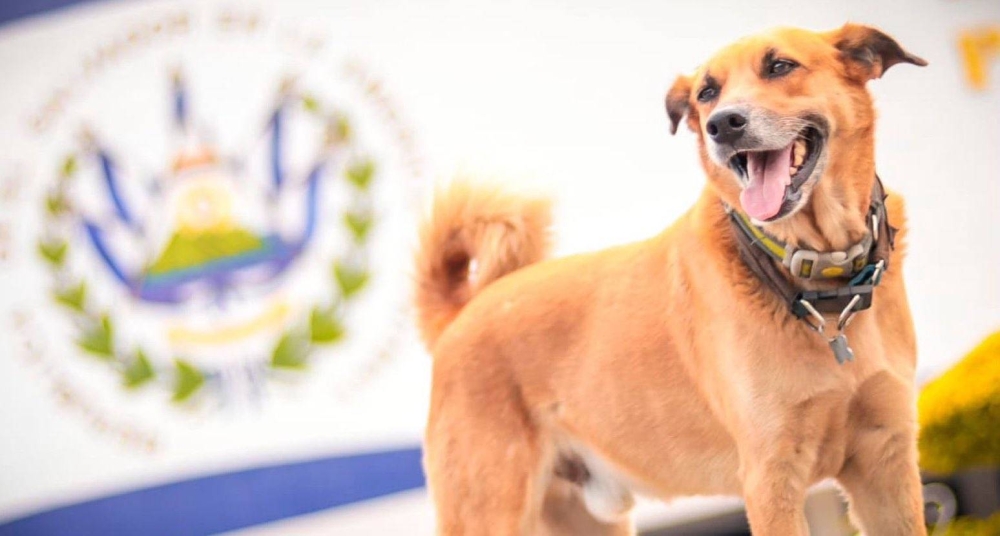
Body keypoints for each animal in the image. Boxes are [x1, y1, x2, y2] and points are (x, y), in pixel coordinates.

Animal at [416, 25, 928, 536]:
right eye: (707, 93)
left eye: (780, 66)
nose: (723, 125)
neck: (822, 284)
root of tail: (462, 314)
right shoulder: (771, 476)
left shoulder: (887, 463)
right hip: (488, 512)